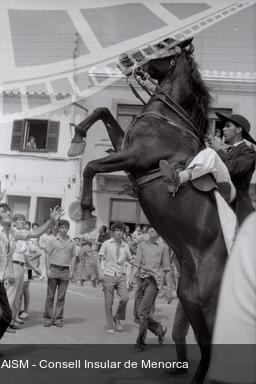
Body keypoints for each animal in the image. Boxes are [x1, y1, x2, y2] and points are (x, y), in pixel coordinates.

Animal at [68, 37, 228, 382]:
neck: (169, 121)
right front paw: (76, 139)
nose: (126, 57)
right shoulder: (125, 150)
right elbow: (101, 112)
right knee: (207, 348)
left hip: (211, 305)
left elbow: (91, 166)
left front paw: (86, 214)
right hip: (191, 303)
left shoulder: (135, 157)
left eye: (166, 43)